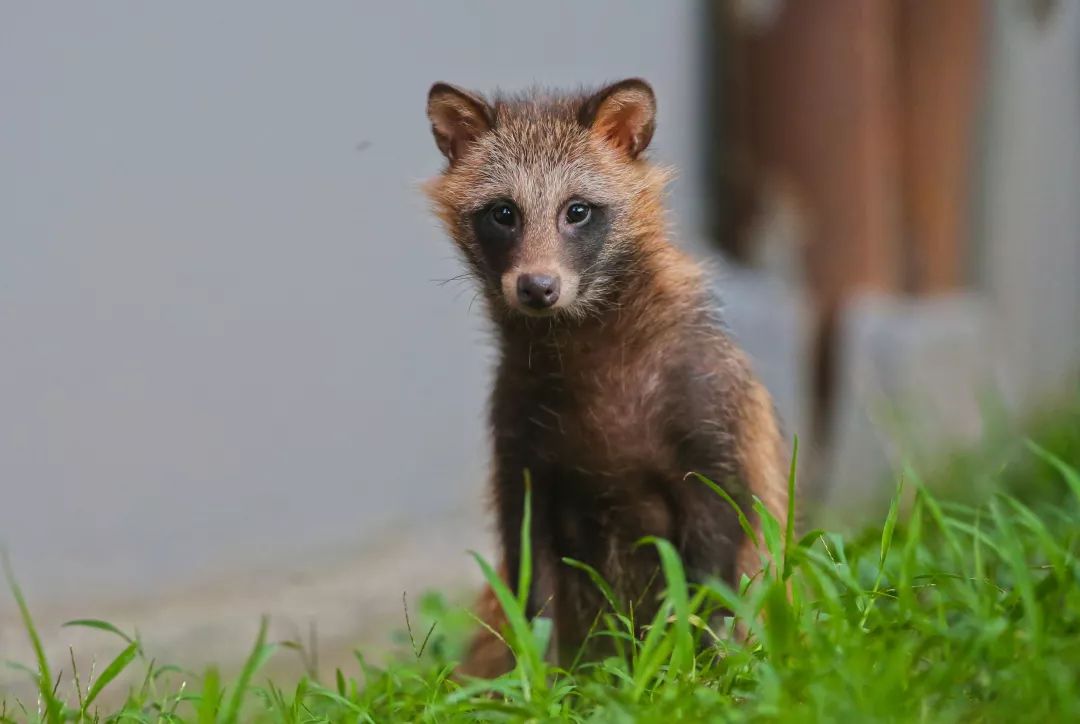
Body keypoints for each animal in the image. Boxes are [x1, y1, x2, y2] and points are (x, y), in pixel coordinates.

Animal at [425, 76, 790, 678]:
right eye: (503, 212)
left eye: (578, 210)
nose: (537, 287)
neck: (583, 347)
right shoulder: (520, 447)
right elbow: (532, 586)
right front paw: (545, 681)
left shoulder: (712, 418)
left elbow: (714, 572)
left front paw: (699, 669)